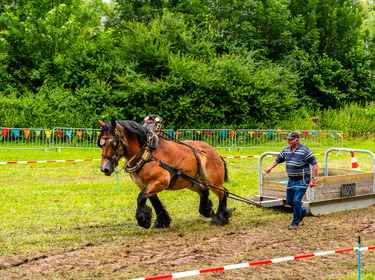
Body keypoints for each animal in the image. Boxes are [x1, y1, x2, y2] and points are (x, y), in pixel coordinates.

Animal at [97, 120, 232, 228]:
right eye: (101, 144)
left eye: (114, 143)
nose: (104, 168)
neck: (147, 154)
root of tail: (214, 152)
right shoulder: (146, 185)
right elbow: (154, 202)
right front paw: (162, 221)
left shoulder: (161, 181)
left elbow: (141, 197)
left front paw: (143, 220)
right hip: (191, 182)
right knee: (204, 191)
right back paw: (207, 210)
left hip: (213, 181)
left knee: (224, 193)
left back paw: (219, 218)